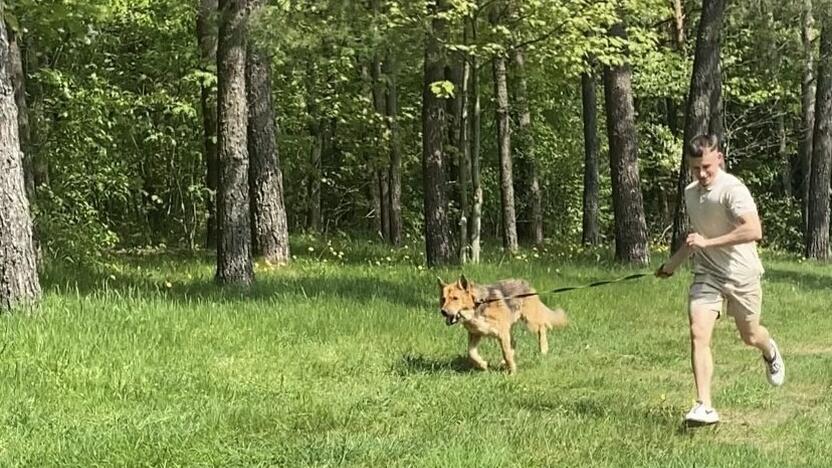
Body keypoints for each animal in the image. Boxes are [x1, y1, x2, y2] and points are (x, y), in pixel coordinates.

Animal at [438, 274, 568, 372]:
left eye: (455, 298)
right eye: (443, 299)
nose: (443, 312)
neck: (477, 305)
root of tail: (526, 283)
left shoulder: (502, 333)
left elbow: (506, 353)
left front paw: (512, 372)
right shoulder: (475, 334)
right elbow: (471, 353)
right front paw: (482, 365)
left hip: (530, 320)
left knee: (542, 326)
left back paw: (543, 348)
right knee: (514, 342)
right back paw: (503, 362)